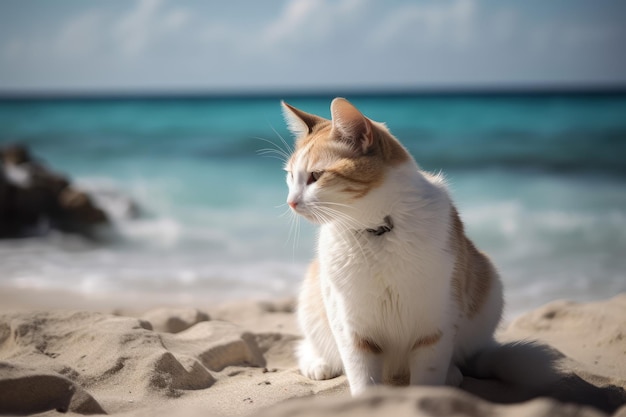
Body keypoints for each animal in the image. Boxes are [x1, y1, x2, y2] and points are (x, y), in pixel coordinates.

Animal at [282, 96, 502, 394]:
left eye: (316, 176)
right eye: (290, 176)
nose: (290, 202)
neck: (378, 231)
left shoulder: (436, 326)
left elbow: (427, 378)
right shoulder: (352, 330)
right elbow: (363, 379)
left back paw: (452, 374)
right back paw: (319, 364)